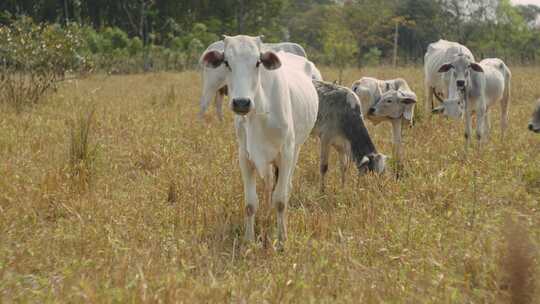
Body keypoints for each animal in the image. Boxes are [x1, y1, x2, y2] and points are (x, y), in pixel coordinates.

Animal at [202, 35, 320, 247]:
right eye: (226, 62)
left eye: (258, 62)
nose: (241, 103)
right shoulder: (245, 157)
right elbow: (250, 203)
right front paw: (249, 240)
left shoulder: (286, 153)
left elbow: (280, 200)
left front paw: (281, 240)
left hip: (296, 149)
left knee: (285, 187)